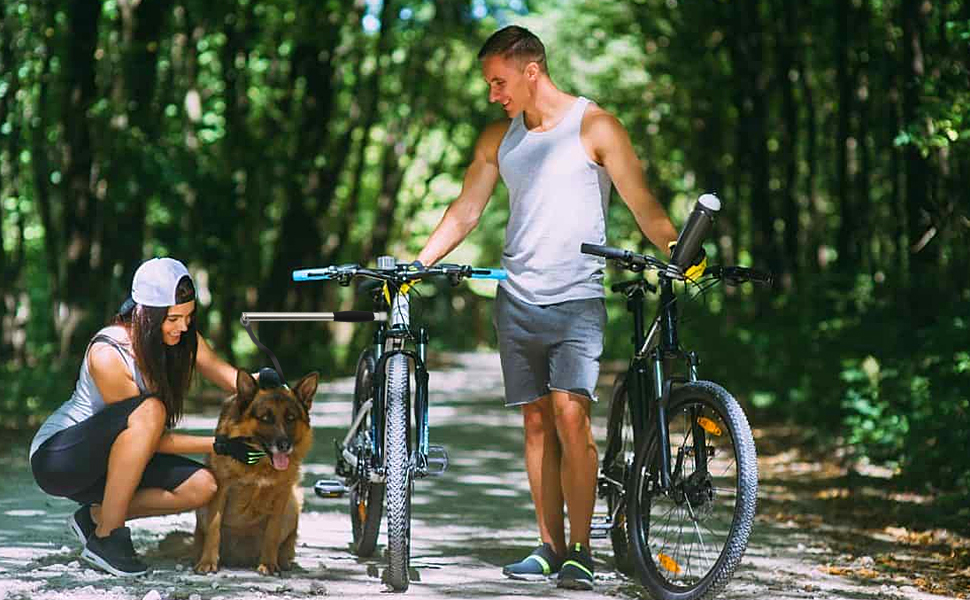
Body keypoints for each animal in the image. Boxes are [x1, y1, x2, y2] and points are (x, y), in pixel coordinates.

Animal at [193, 368, 318, 576]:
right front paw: (207, 562)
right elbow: (214, 528)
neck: (261, 463)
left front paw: (268, 564)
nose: (284, 446)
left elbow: (272, 534)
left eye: (291, 418)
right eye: (265, 418)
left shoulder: (281, 495)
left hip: (293, 503)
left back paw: (283, 561)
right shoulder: (221, 490)